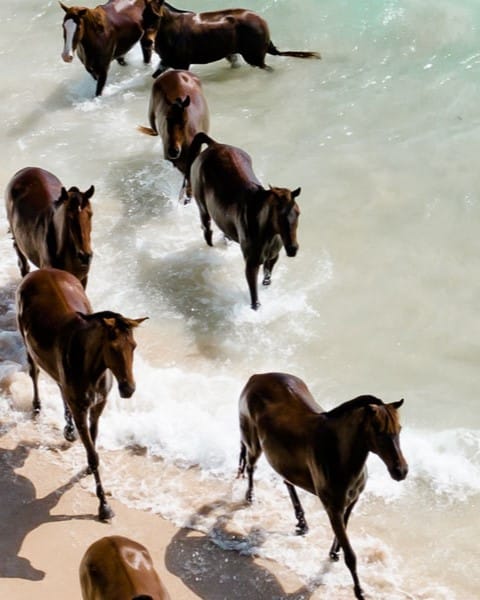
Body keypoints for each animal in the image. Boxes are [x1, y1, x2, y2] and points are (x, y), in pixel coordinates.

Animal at [16, 268, 146, 520]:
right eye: (114, 348)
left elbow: (93, 444)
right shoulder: (80, 409)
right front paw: (104, 506)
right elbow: (93, 455)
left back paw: (68, 430)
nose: (128, 389)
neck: (92, 369)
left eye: (133, 346)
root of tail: (39, 271)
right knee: (34, 370)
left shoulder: (97, 406)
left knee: (59, 385)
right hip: (26, 341)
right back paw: (38, 406)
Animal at [149, 0, 322, 77]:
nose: (148, 41)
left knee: (266, 67)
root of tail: (263, 21)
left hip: (253, 55)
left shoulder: (182, 63)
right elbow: (156, 75)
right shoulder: (166, 61)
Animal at [187, 132, 300, 310]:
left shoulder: (272, 257)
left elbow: (267, 278)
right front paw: (256, 308)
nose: (293, 249)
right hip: (202, 207)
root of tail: (214, 144)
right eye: (280, 216)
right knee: (207, 231)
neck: (265, 231)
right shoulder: (251, 265)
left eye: (298, 213)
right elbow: (254, 296)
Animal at [238, 372, 406, 596]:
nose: (401, 471)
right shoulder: (332, 507)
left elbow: (342, 533)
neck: (338, 452)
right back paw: (250, 498)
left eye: (399, 429)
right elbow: (350, 554)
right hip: (253, 444)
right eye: (379, 431)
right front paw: (359, 591)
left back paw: (302, 523)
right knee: (250, 466)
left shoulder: (350, 502)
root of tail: (256, 377)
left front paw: (333, 553)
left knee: (287, 480)